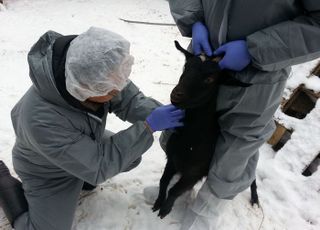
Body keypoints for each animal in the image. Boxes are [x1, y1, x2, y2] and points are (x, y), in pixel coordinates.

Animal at [151, 40, 258, 218]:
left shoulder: (195, 171)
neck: (190, 138)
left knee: (251, 177)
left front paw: (165, 210)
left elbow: (174, 191)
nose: (176, 95)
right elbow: (164, 181)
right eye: (186, 67)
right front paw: (158, 203)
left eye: (209, 79)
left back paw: (255, 200)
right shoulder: (172, 159)